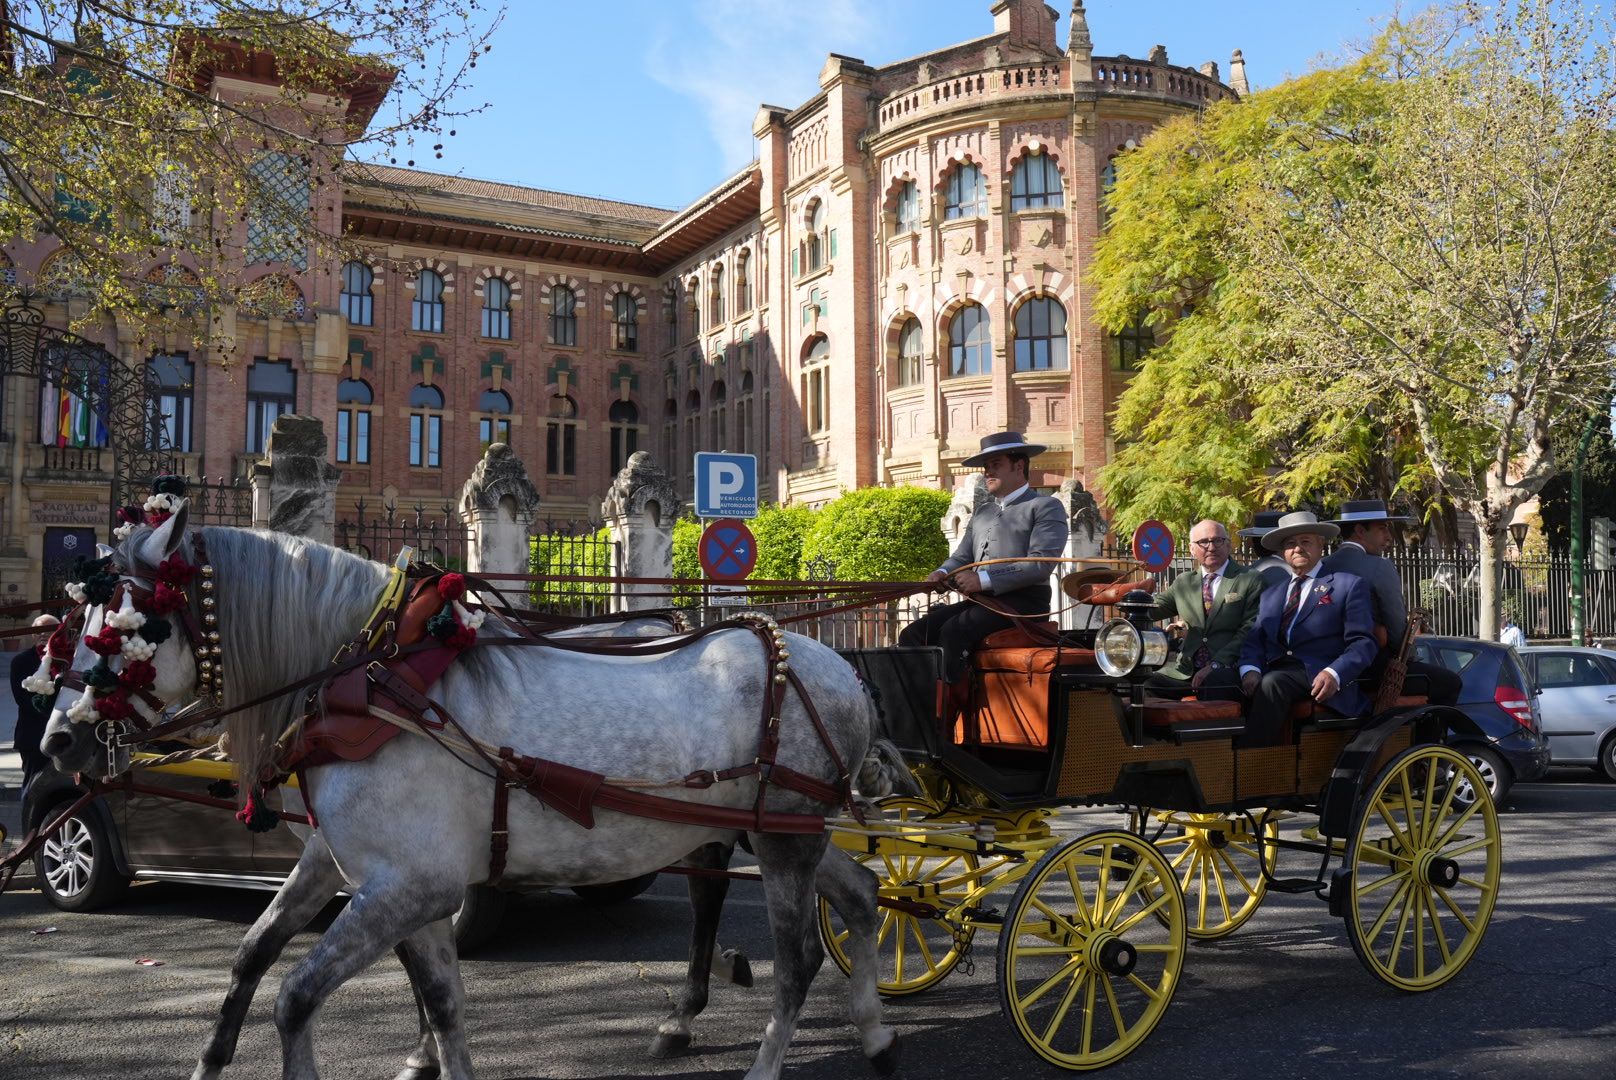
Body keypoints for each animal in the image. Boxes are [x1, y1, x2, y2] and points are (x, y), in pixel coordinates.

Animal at [41, 507, 898, 1080]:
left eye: (127, 626)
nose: (56, 742)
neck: (370, 678)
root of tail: (839, 668)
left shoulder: (408, 886)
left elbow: (297, 996)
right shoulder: (370, 876)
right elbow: (402, 991)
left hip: (782, 837)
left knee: (796, 960)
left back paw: (767, 1056)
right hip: (782, 831)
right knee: (860, 894)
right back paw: (876, 1034)